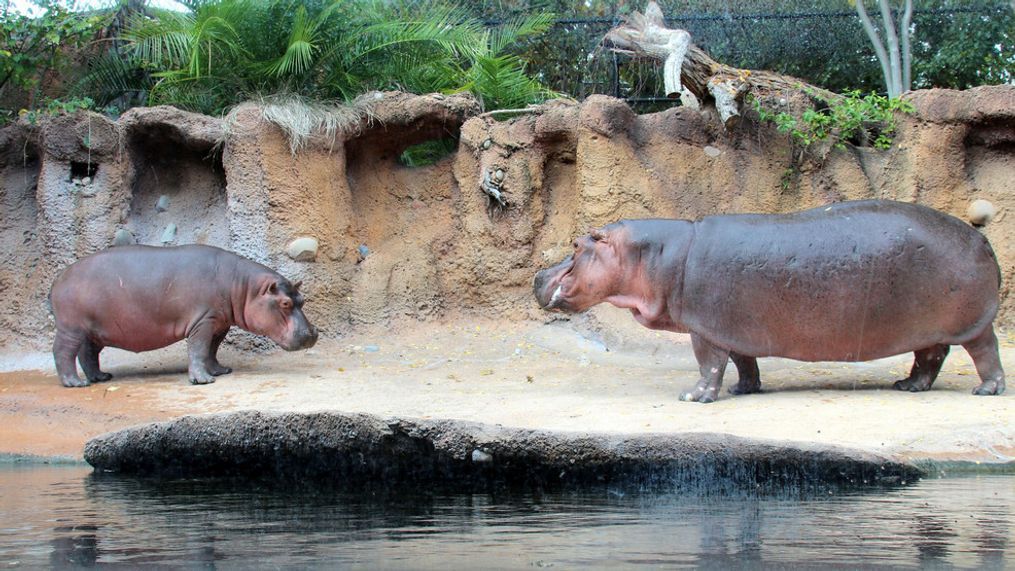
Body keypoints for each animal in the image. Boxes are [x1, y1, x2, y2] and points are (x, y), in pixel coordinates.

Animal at [47, 243, 314, 387]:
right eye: (285, 303)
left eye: (303, 299)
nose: (312, 334)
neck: (244, 286)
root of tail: (58, 278)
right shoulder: (202, 322)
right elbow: (198, 349)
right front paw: (204, 381)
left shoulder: (219, 323)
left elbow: (211, 350)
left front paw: (220, 371)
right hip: (72, 328)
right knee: (62, 351)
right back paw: (75, 383)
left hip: (93, 331)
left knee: (87, 353)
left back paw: (100, 377)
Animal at [535, 199, 1002, 401]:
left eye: (577, 246)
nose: (538, 275)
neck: (657, 254)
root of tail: (982, 238)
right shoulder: (733, 326)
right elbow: (744, 361)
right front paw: (744, 390)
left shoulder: (706, 328)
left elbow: (708, 364)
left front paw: (694, 397)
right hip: (931, 327)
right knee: (930, 357)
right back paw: (907, 386)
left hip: (972, 324)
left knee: (985, 352)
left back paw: (986, 391)